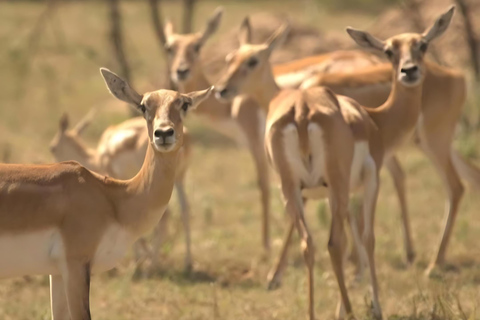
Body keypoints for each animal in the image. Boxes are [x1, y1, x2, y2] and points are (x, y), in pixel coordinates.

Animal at [47, 110, 192, 272]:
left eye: (52, 147)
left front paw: (139, 259)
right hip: (179, 179)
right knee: (185, 210)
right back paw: (187, 264)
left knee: (166, 215)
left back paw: (153, 264)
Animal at [214, 6, 454, 318]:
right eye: (389, 51)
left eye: (422, 45)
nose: (409, 71)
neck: (376, 121)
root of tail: (301, 110)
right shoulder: (369, 181)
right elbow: (367, 238)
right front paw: (373, 305)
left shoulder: (324, 191)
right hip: (339, 184)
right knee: (335, 243)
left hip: (293, 187)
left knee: (310, 243)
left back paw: (313, 310)